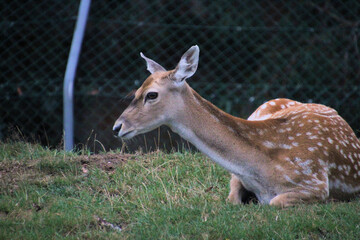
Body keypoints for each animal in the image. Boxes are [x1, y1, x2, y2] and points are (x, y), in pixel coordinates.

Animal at [114, 46, 360, 207]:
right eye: (136, 91)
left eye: (151, 94)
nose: (117, 126)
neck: (262, 171)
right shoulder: (236, 178)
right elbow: (233, 198)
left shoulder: (316, 182)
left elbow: (274, 202)